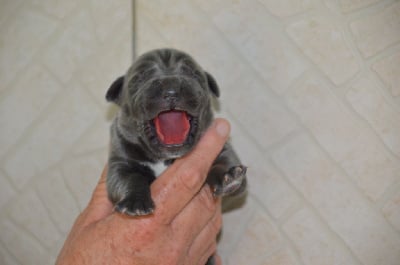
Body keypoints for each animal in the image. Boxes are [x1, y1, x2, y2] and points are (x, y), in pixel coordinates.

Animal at [104, 48, 245, 262]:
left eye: (193, 73)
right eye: (139, 77)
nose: (171, 89)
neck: (165, 158)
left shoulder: (222, 146)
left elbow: (224, 161)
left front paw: (228, 177)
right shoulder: (120, 163)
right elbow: (130, 178)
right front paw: (135, 202)